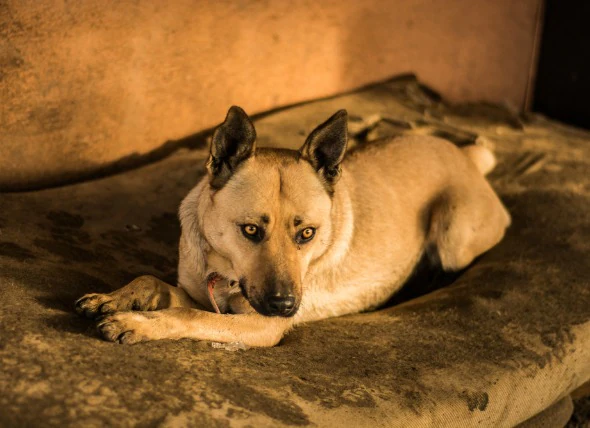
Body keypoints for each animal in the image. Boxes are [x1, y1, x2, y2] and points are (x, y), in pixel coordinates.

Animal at [76, 106, 512, 348]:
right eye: (251, 230)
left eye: (308, 234)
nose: (285, 306)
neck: (224, 269)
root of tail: (467, 157)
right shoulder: (203, 296)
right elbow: (153, 282)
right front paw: (115, 298)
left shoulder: (257, 326)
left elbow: (190, 318)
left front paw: (134, 323)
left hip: (454, 232)